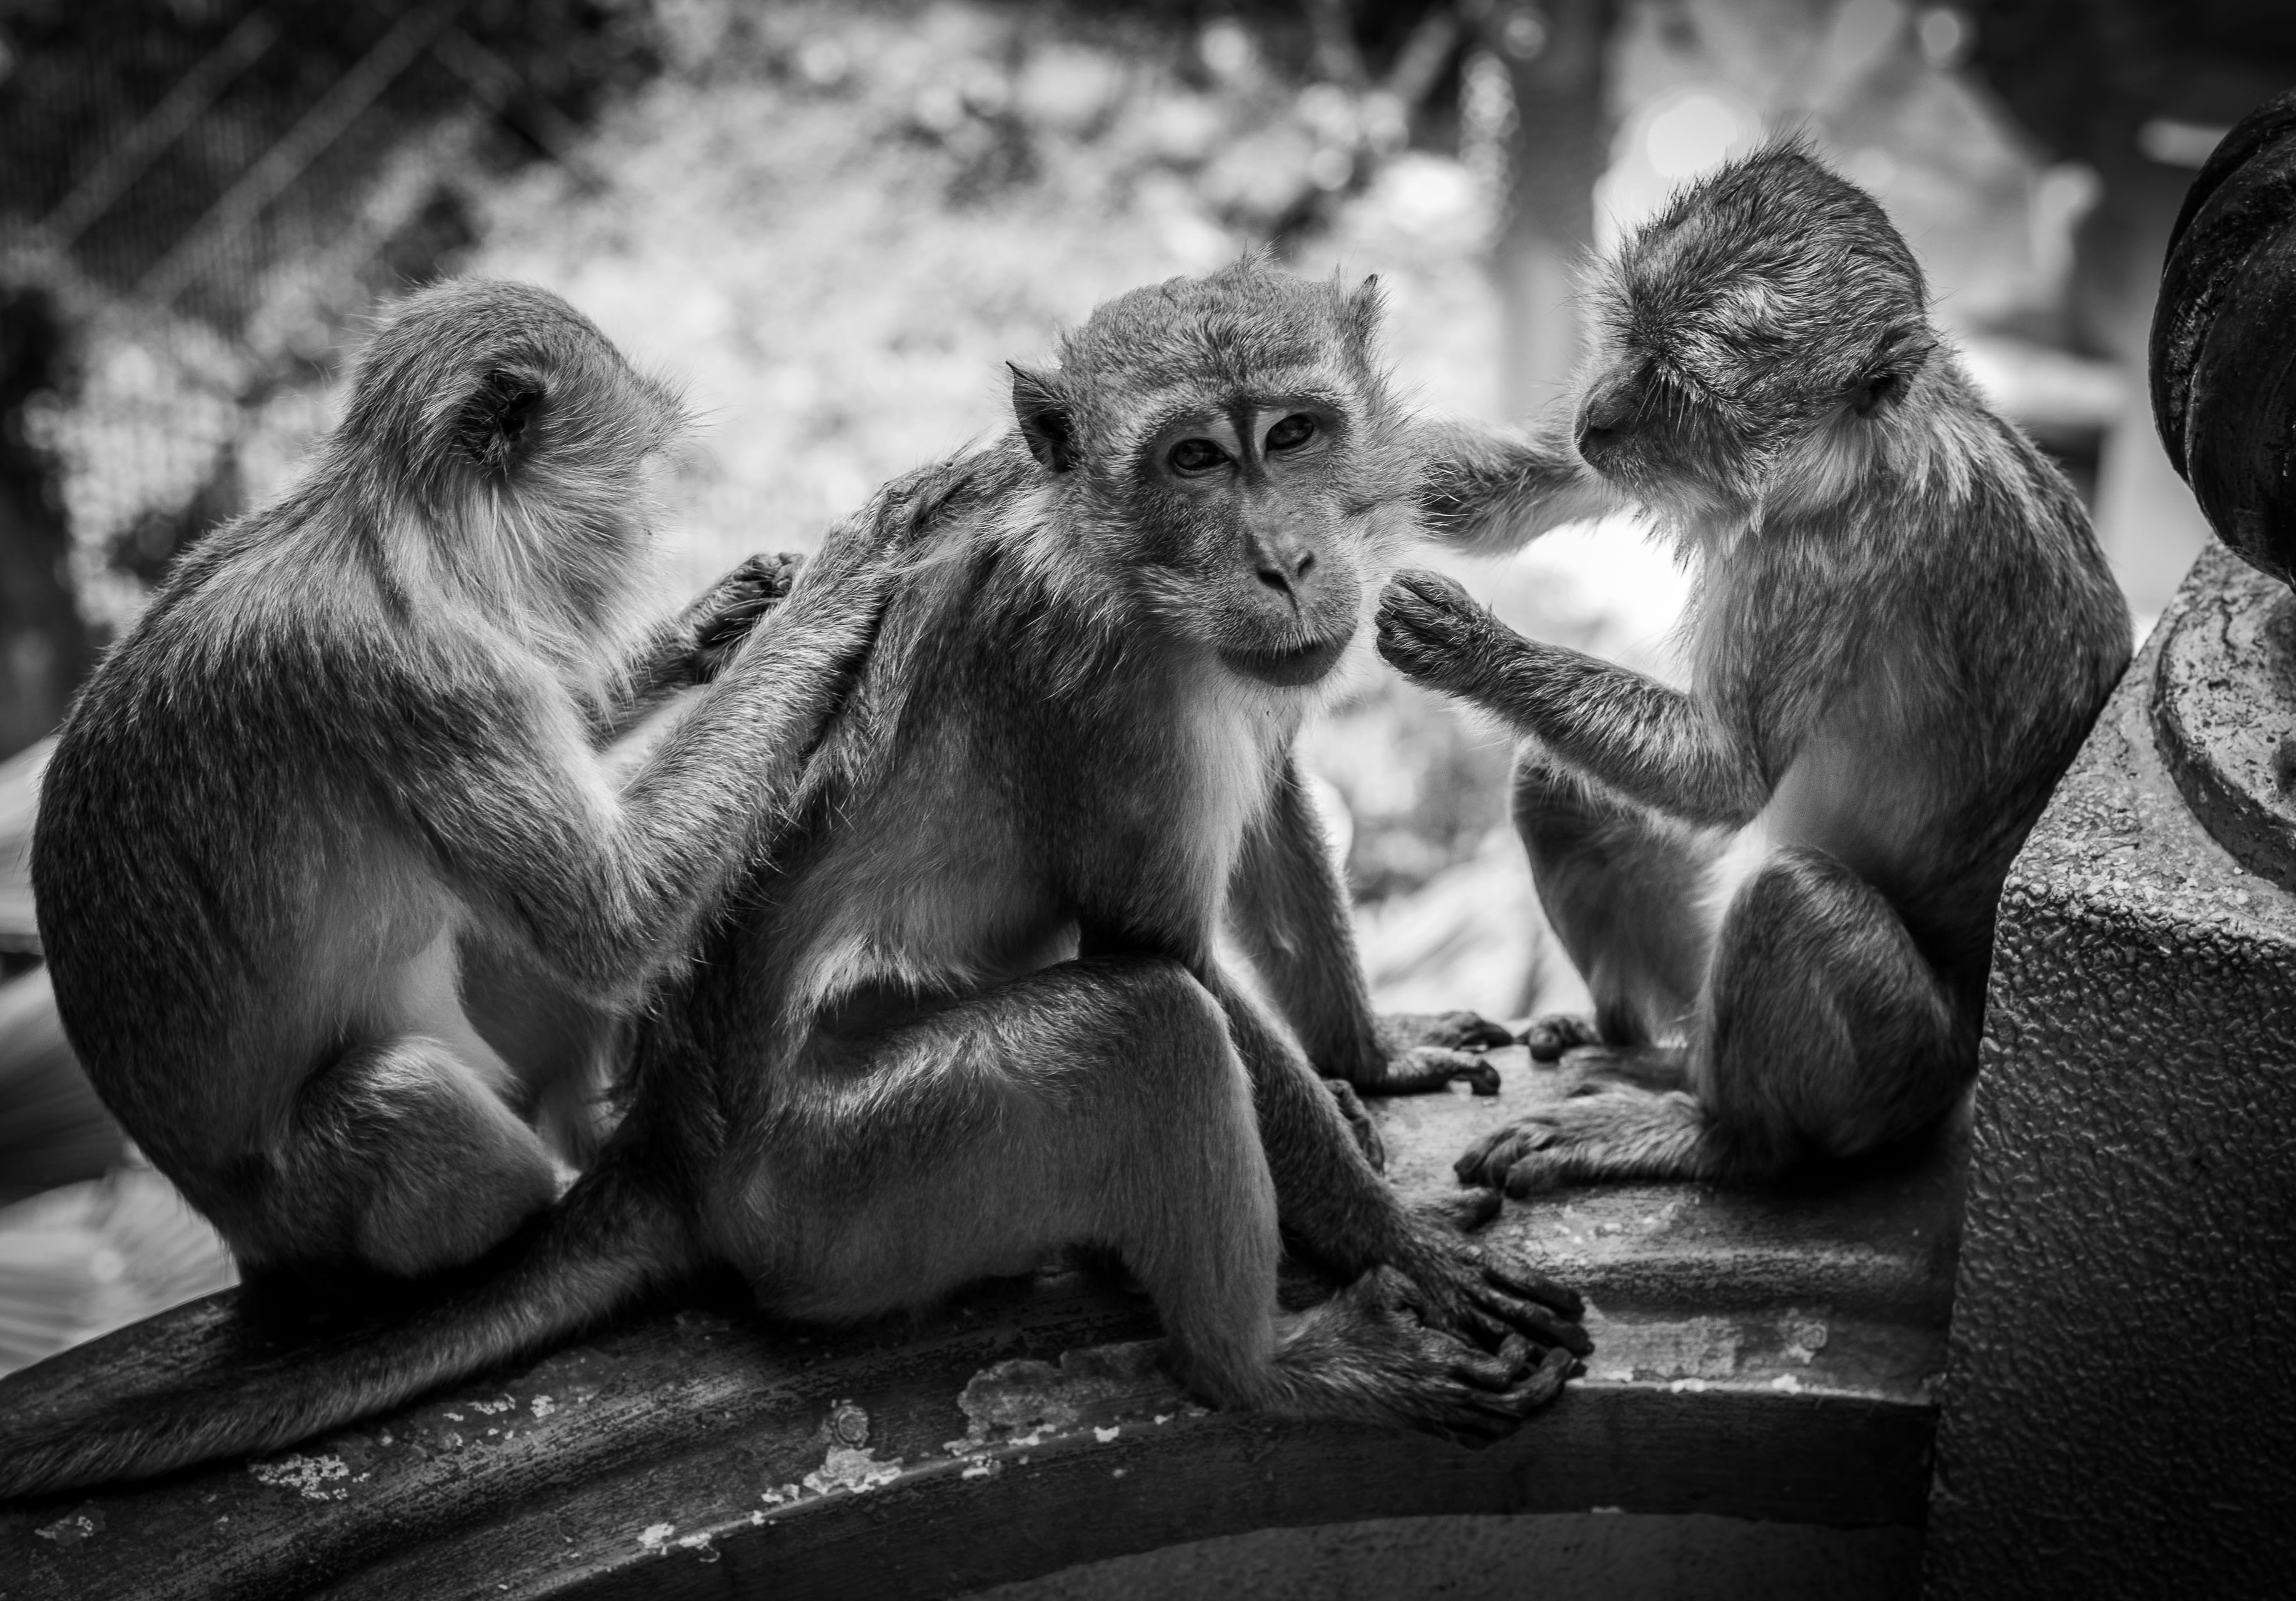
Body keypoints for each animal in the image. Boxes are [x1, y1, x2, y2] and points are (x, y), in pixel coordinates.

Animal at [27, 279, 894, 1291]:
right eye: (635, 476)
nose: (645, 526)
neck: (404, 537)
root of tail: (239, 1231)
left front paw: (719, 620)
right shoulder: (427, 677)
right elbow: (608, 922)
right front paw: (838, 585)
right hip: (305, 1206)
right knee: (400, 1091)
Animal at [1373, 142, 2134, 1194]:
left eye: (1674, 384)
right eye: (1626, 338)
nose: (1596, 415)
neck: (1848, 449)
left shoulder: (1819, 563)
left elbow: (1725, 777)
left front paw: (1468, 648)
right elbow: (1498, 494)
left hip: (1896, 1072)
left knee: (1786, 898)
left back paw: (1720, 1136)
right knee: (1554, 782)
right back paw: (1646, 1049)